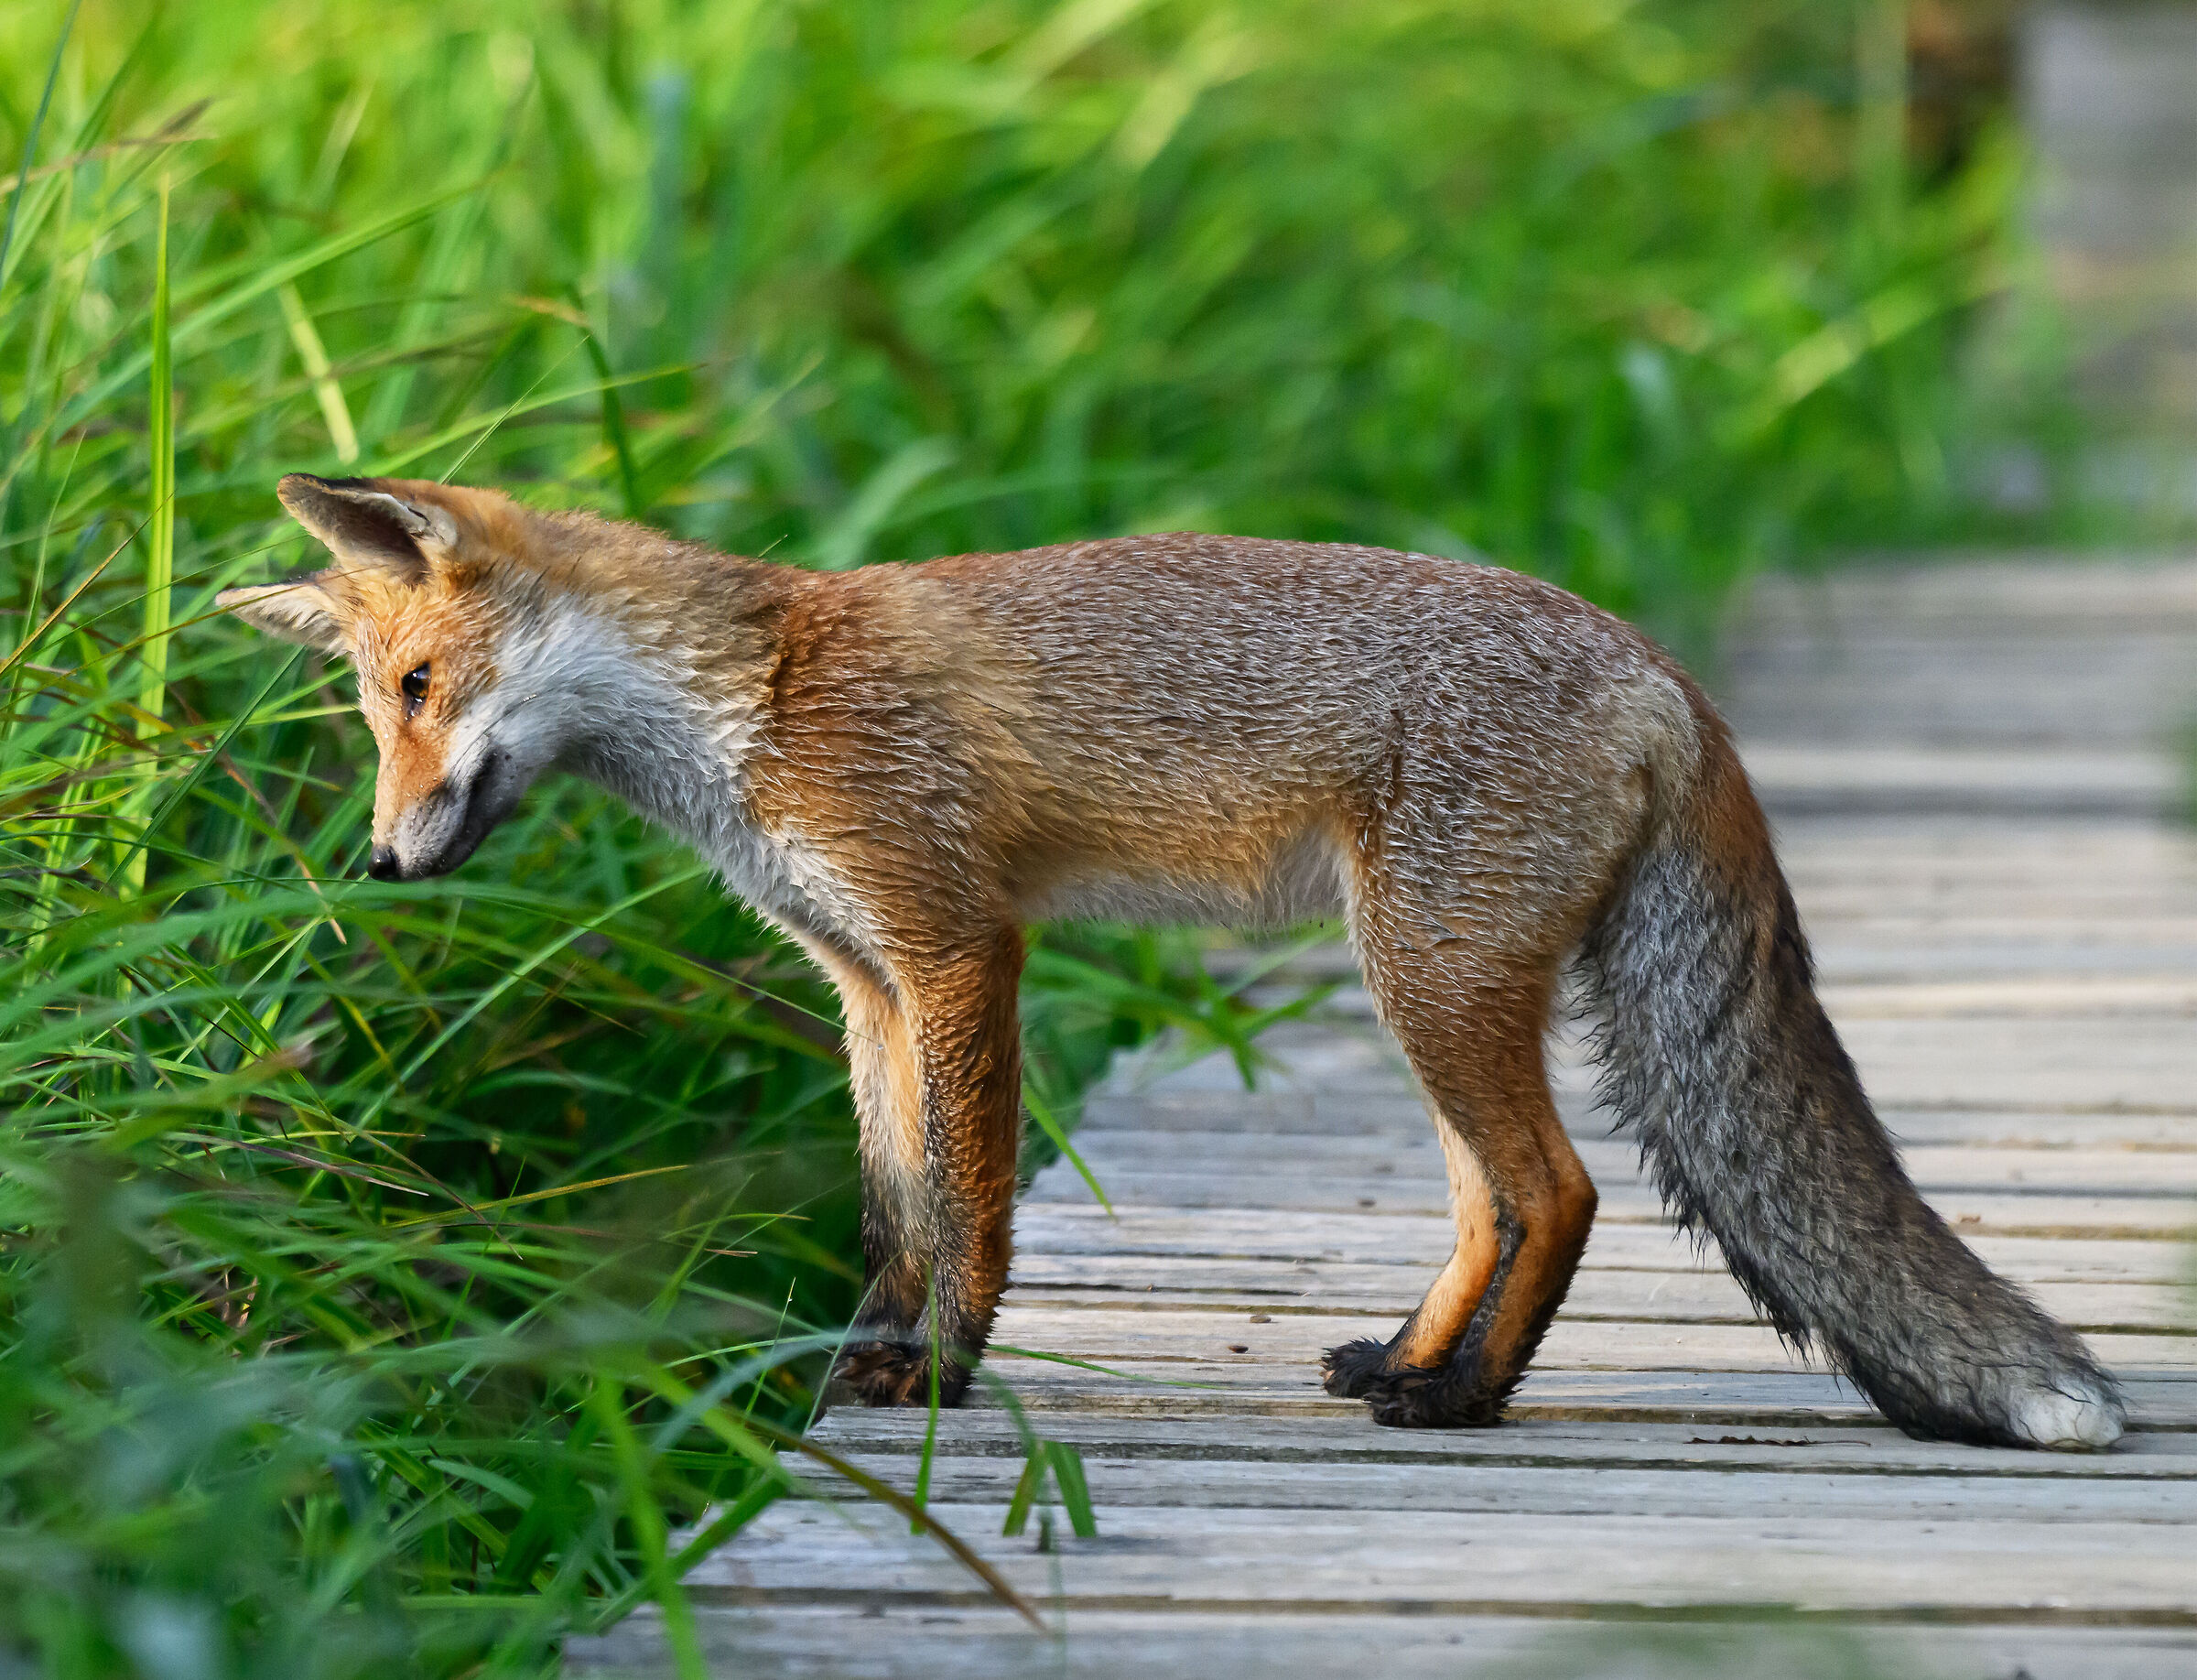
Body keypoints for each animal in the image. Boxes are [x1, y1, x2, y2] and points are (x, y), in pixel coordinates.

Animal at [216, 472, 2126, 1450]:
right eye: (368, 707)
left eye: (417, 692)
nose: (378, 861)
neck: (756, 696)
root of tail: (1658, 667)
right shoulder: (863, 984)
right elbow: (893, 1205)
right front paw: (871, 1360)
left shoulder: (956, 946)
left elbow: (971, 1202)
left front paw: (948, 1373)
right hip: (1428, 984)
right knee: (1494, 1199)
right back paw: (1411, 1362)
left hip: (1429, 979)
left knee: (1563, 1189)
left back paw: (1466, 1400)